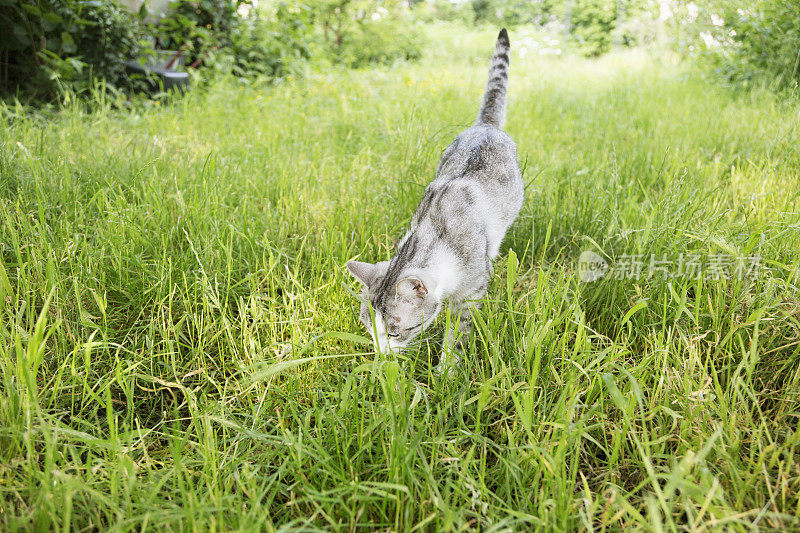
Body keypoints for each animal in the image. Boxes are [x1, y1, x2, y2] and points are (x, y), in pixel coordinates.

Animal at [346, 28, 520, 370]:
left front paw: (447, 369)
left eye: (396, 330)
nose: (382, 356)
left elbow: (459, 331)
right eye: (367, 327)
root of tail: (485, 126)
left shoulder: (470, 294)